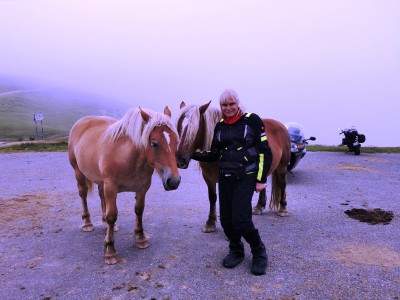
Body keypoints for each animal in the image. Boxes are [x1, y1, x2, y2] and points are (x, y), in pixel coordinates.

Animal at [69, 106, 181, 264]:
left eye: (176, 142)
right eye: (154, 143)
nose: (174, 181)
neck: (127, 156)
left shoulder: (142, 187)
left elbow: (139, 210)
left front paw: (140, 238)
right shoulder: (111, 187)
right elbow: (112, 215)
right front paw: (110, 250)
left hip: (101, 181)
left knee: (101, 196)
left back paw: (106, 224)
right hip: (79, 172)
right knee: (83, 194)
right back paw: (87, 223)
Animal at [175, 101, 290, 232]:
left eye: (194, 130)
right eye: (178, 128)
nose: (180, 161)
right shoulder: (208, 178)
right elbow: (212, 197)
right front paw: (210, 222)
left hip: (282, 167)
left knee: (282, 184)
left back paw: (283, 209)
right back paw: (259, 207)